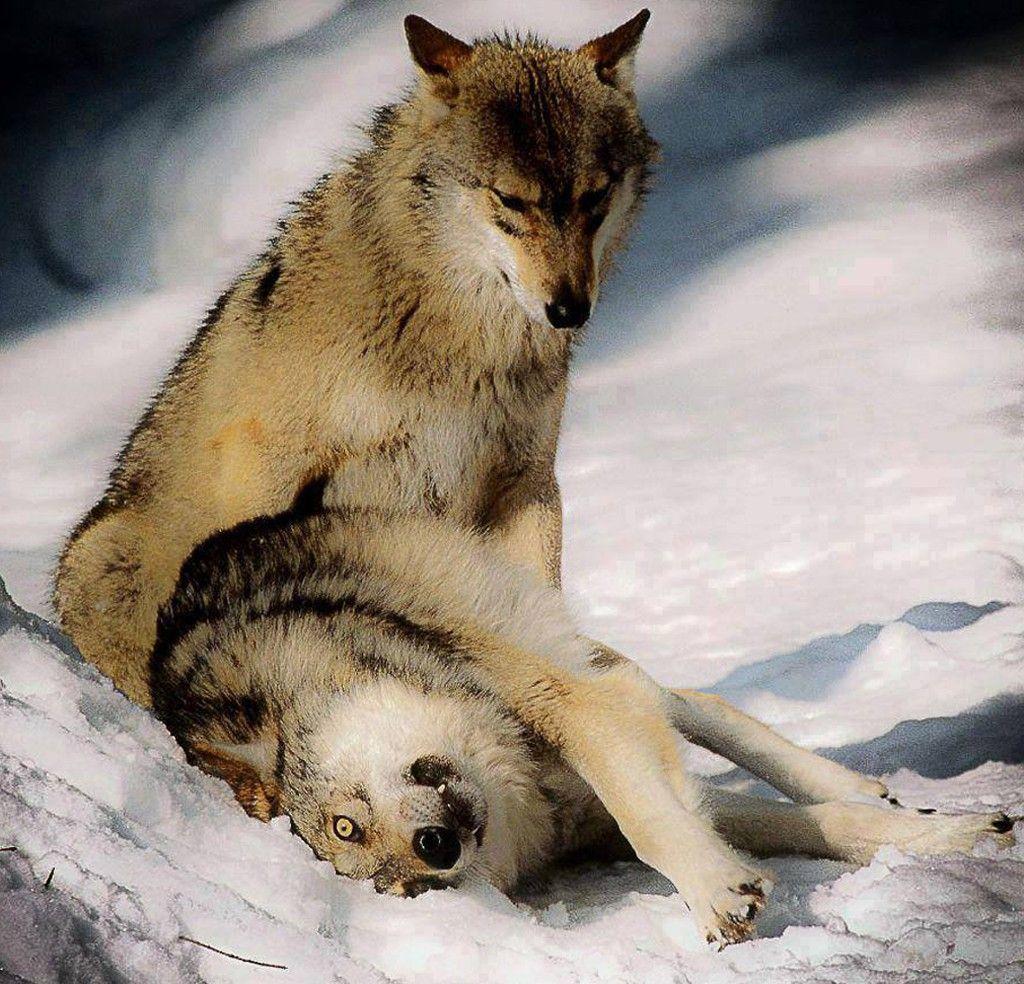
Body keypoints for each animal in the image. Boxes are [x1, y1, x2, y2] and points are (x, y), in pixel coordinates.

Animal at [152, 506, 1014, 942]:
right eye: (397, 888)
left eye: (346, 823)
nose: (436, 851)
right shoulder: (592, 808)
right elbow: (821, 829)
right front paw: (952, 838)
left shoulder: (579, 713)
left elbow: (655, 824)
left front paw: (715, 896)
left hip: (529, 631)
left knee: (691, 700)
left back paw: (858, 778)